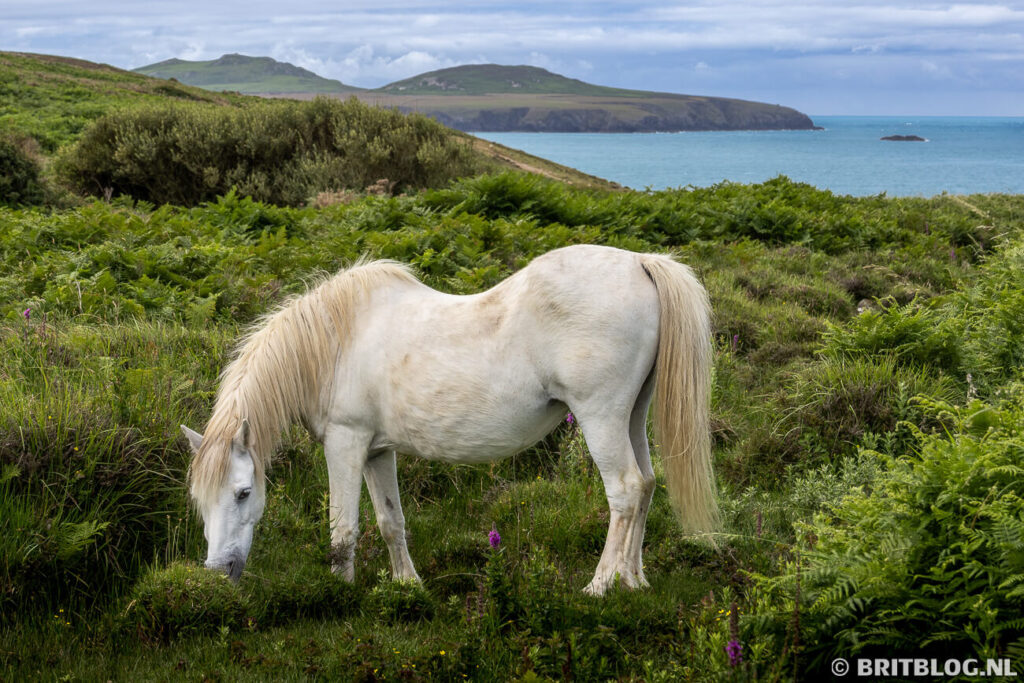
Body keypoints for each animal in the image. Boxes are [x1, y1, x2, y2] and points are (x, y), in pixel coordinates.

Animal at [181, 244, 716, 596]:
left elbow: (343, 527)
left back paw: (600, 586)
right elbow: (389, 521)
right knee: (646, 484)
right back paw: (633, 580)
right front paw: (407, 587)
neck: (334, 342)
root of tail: (640, 263)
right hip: (632, 415)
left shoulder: (345, 443)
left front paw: (340, 593)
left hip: (600, 417)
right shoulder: (378, 451)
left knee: (625, 490)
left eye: (243, 493)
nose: (218, 571)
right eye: (199, 500)